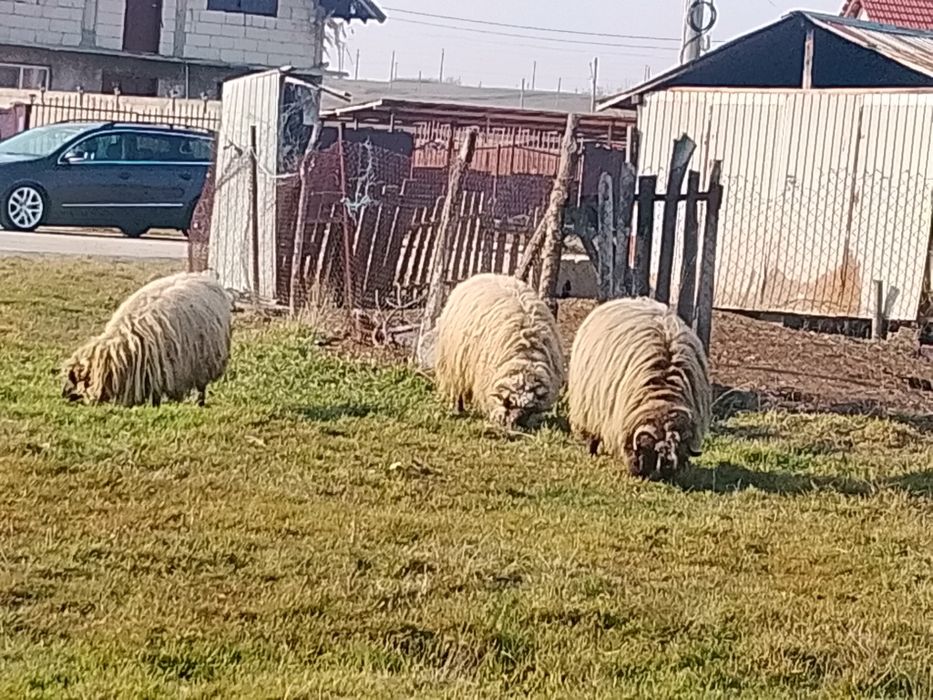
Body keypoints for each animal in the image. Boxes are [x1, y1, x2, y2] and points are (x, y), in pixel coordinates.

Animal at [61, 271, 232, 407]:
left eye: (75, 379)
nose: (63, 395)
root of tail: (204, 277)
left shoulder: (160, 368)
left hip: (204, 362)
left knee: (201, 387)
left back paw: (200, 403)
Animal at [434, 273, 565, 429]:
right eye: (509, 404)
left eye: (527, 410)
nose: (513, 425)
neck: (525, 356)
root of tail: (484, 275)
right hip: (455, 363)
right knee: (458, 387)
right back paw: (458, 408)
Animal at [568, 297, 711, 479]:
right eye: (647, 448)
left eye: (678, 450)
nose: (643, 474)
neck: (662, 395)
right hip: (589, 409)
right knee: (592, 433)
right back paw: (591, 451)